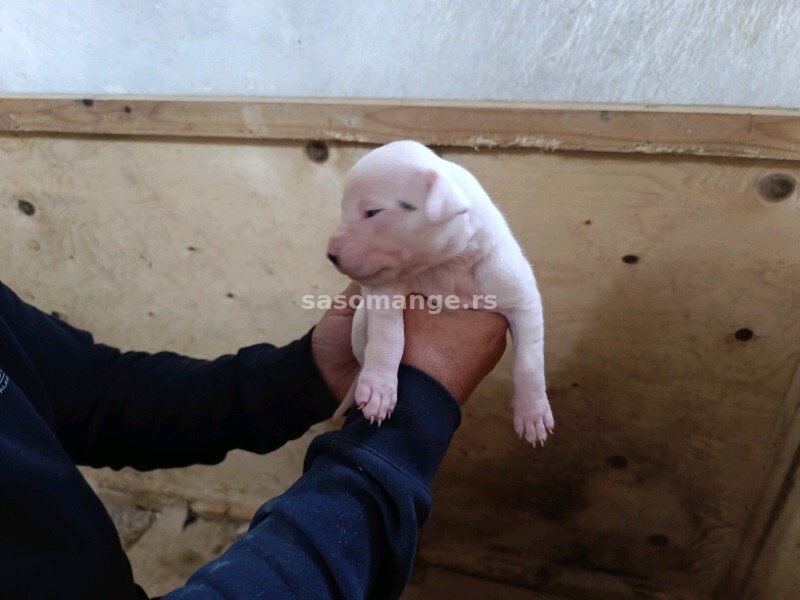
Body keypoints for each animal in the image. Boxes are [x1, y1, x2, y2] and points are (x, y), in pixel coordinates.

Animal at [328, 141, 552, 446]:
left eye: (372, 212)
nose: (331, 255)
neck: (448, 265)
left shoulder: (521, 297)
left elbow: (529, 360)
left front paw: (533, 413)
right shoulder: (384, 290)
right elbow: (388, 336)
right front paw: (379, 387)